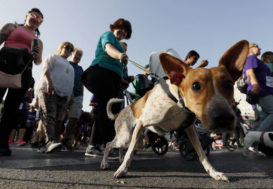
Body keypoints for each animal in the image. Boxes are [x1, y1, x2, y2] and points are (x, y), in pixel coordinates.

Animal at [100, 40, 249, 182]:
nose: (225, 118)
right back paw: (105, 163)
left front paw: (214, 173)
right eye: (195, 85)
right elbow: (130, 152)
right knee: (109, 144)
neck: (177, 103)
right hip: (126, 136)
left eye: (229, 85)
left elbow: (202, 154)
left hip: (131, 137)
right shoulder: (143, 122)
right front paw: (122, 169)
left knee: (121, 147)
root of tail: (119, 113)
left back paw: (119, 158)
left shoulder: (190, 129)